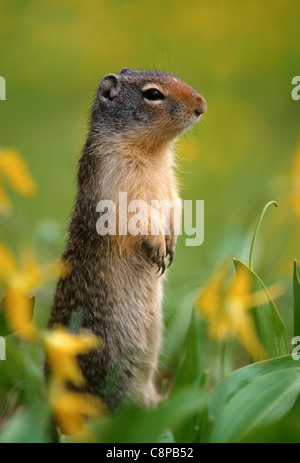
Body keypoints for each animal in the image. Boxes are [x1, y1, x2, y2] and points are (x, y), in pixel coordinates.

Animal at [48, 68, 206, 410]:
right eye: (153, 94)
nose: (201, 105)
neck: (153, 152)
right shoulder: (116, 183)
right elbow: (138, 218)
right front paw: (158, 248)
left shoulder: (170, 186)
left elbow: (175, 206)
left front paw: (172, 244)